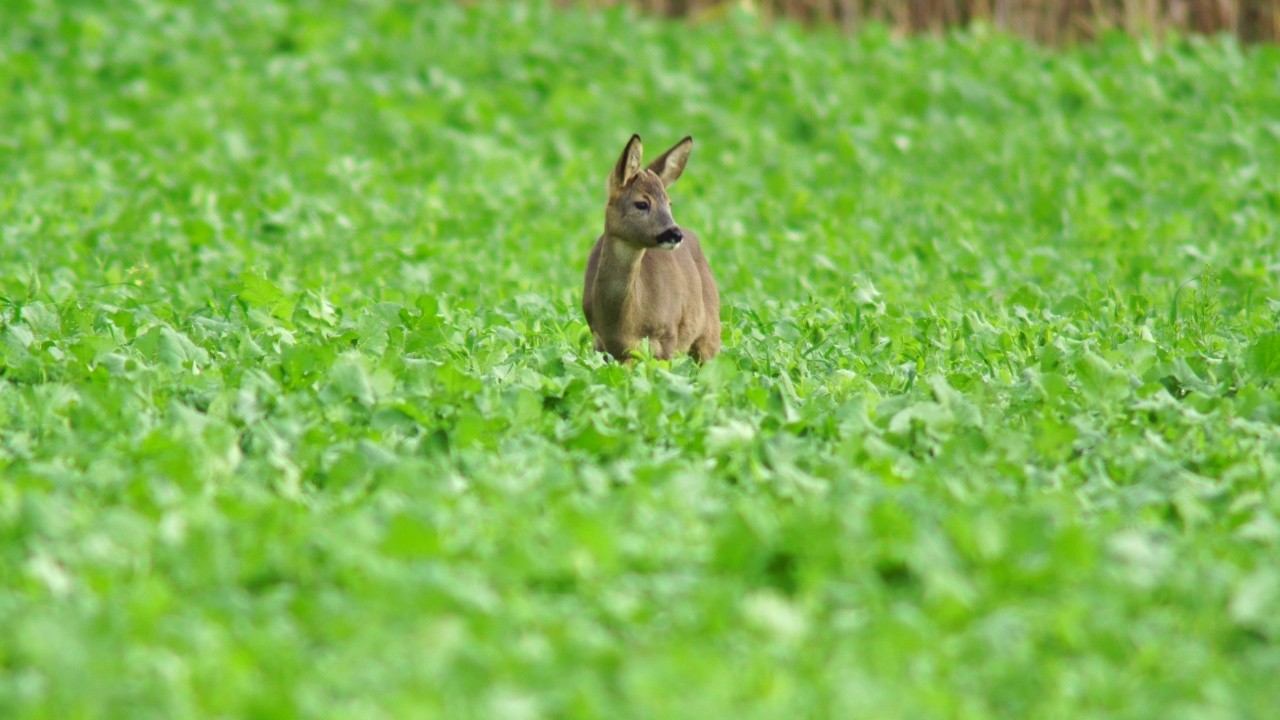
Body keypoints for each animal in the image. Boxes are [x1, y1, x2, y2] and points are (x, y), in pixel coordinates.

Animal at [581, 133, 721, 363]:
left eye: (669, 203)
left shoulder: (668, 339)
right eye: (641, 203)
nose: (675, 234)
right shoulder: (602, 345)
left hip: (710, 329)